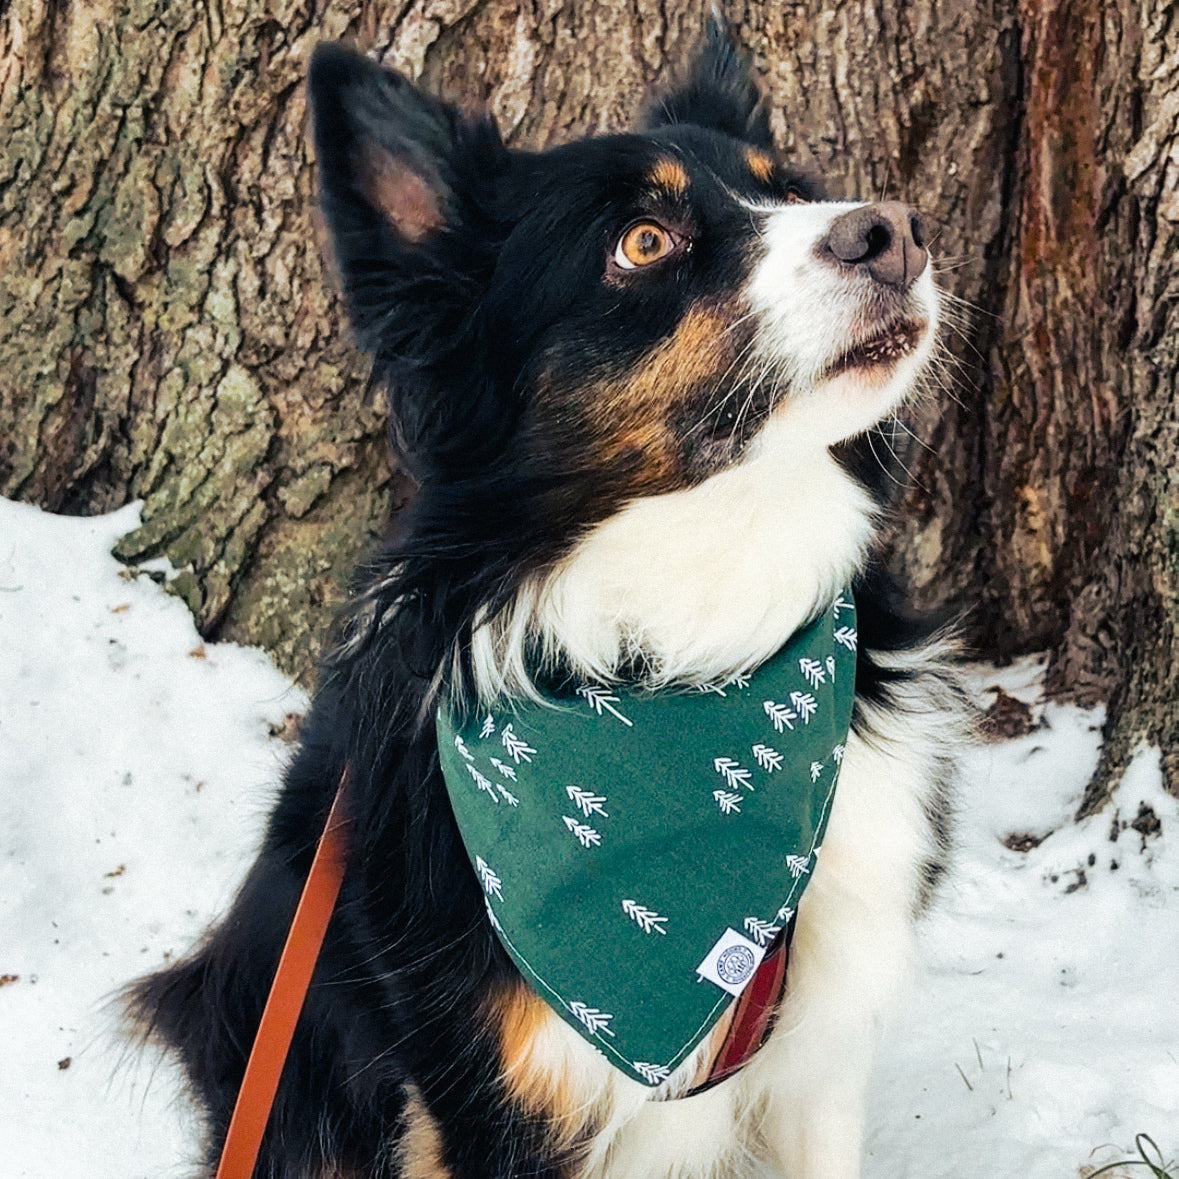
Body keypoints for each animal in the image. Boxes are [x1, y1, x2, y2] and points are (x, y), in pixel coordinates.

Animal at [133, 20, 971, 1179]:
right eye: (644, 242)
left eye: (792, 189)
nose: (895, 232)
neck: (693, 643)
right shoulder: (495, 1096)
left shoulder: (819, 1059)